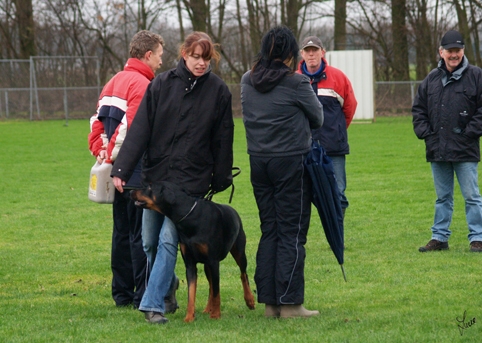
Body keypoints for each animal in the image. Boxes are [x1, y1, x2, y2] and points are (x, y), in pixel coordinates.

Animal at [128, 181, 256, 324]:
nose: (130, 191)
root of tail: (234, 211)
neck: (189, 216)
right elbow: (192, 292)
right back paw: (208, 308)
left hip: (238, 251)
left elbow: (217, 292)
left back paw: (249, 300)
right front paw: (189, 317)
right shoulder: (190, 264)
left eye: (150, 187)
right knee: (211, 285)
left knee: (243, 274)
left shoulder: (213, 261)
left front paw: (216, 315)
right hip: (207, 266)